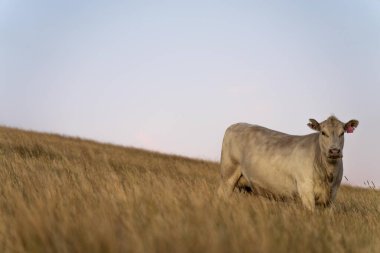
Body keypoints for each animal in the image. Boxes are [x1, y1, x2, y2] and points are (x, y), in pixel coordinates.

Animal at [217, 115, 360, 211]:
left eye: (342, 133)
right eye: (323, 132)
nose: (334, 151)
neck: (328, 175)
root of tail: (235, 125)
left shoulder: (332, 195)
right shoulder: (305, 189)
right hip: (228, 174)